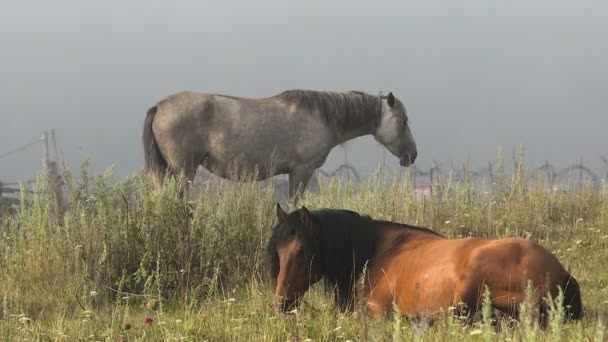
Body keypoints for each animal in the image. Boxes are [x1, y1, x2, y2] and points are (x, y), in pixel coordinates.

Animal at [142, 89, 418, 198]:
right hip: (184, 172)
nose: (412, 155)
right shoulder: (301, 172)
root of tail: (160, 106)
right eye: (404, 120)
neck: (321, 116)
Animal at [268, 204, 580, 324]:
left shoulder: (373, 309)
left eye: (302, 252)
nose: (281, 303)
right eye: (279, 252)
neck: (374, 251)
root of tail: (563, 276)